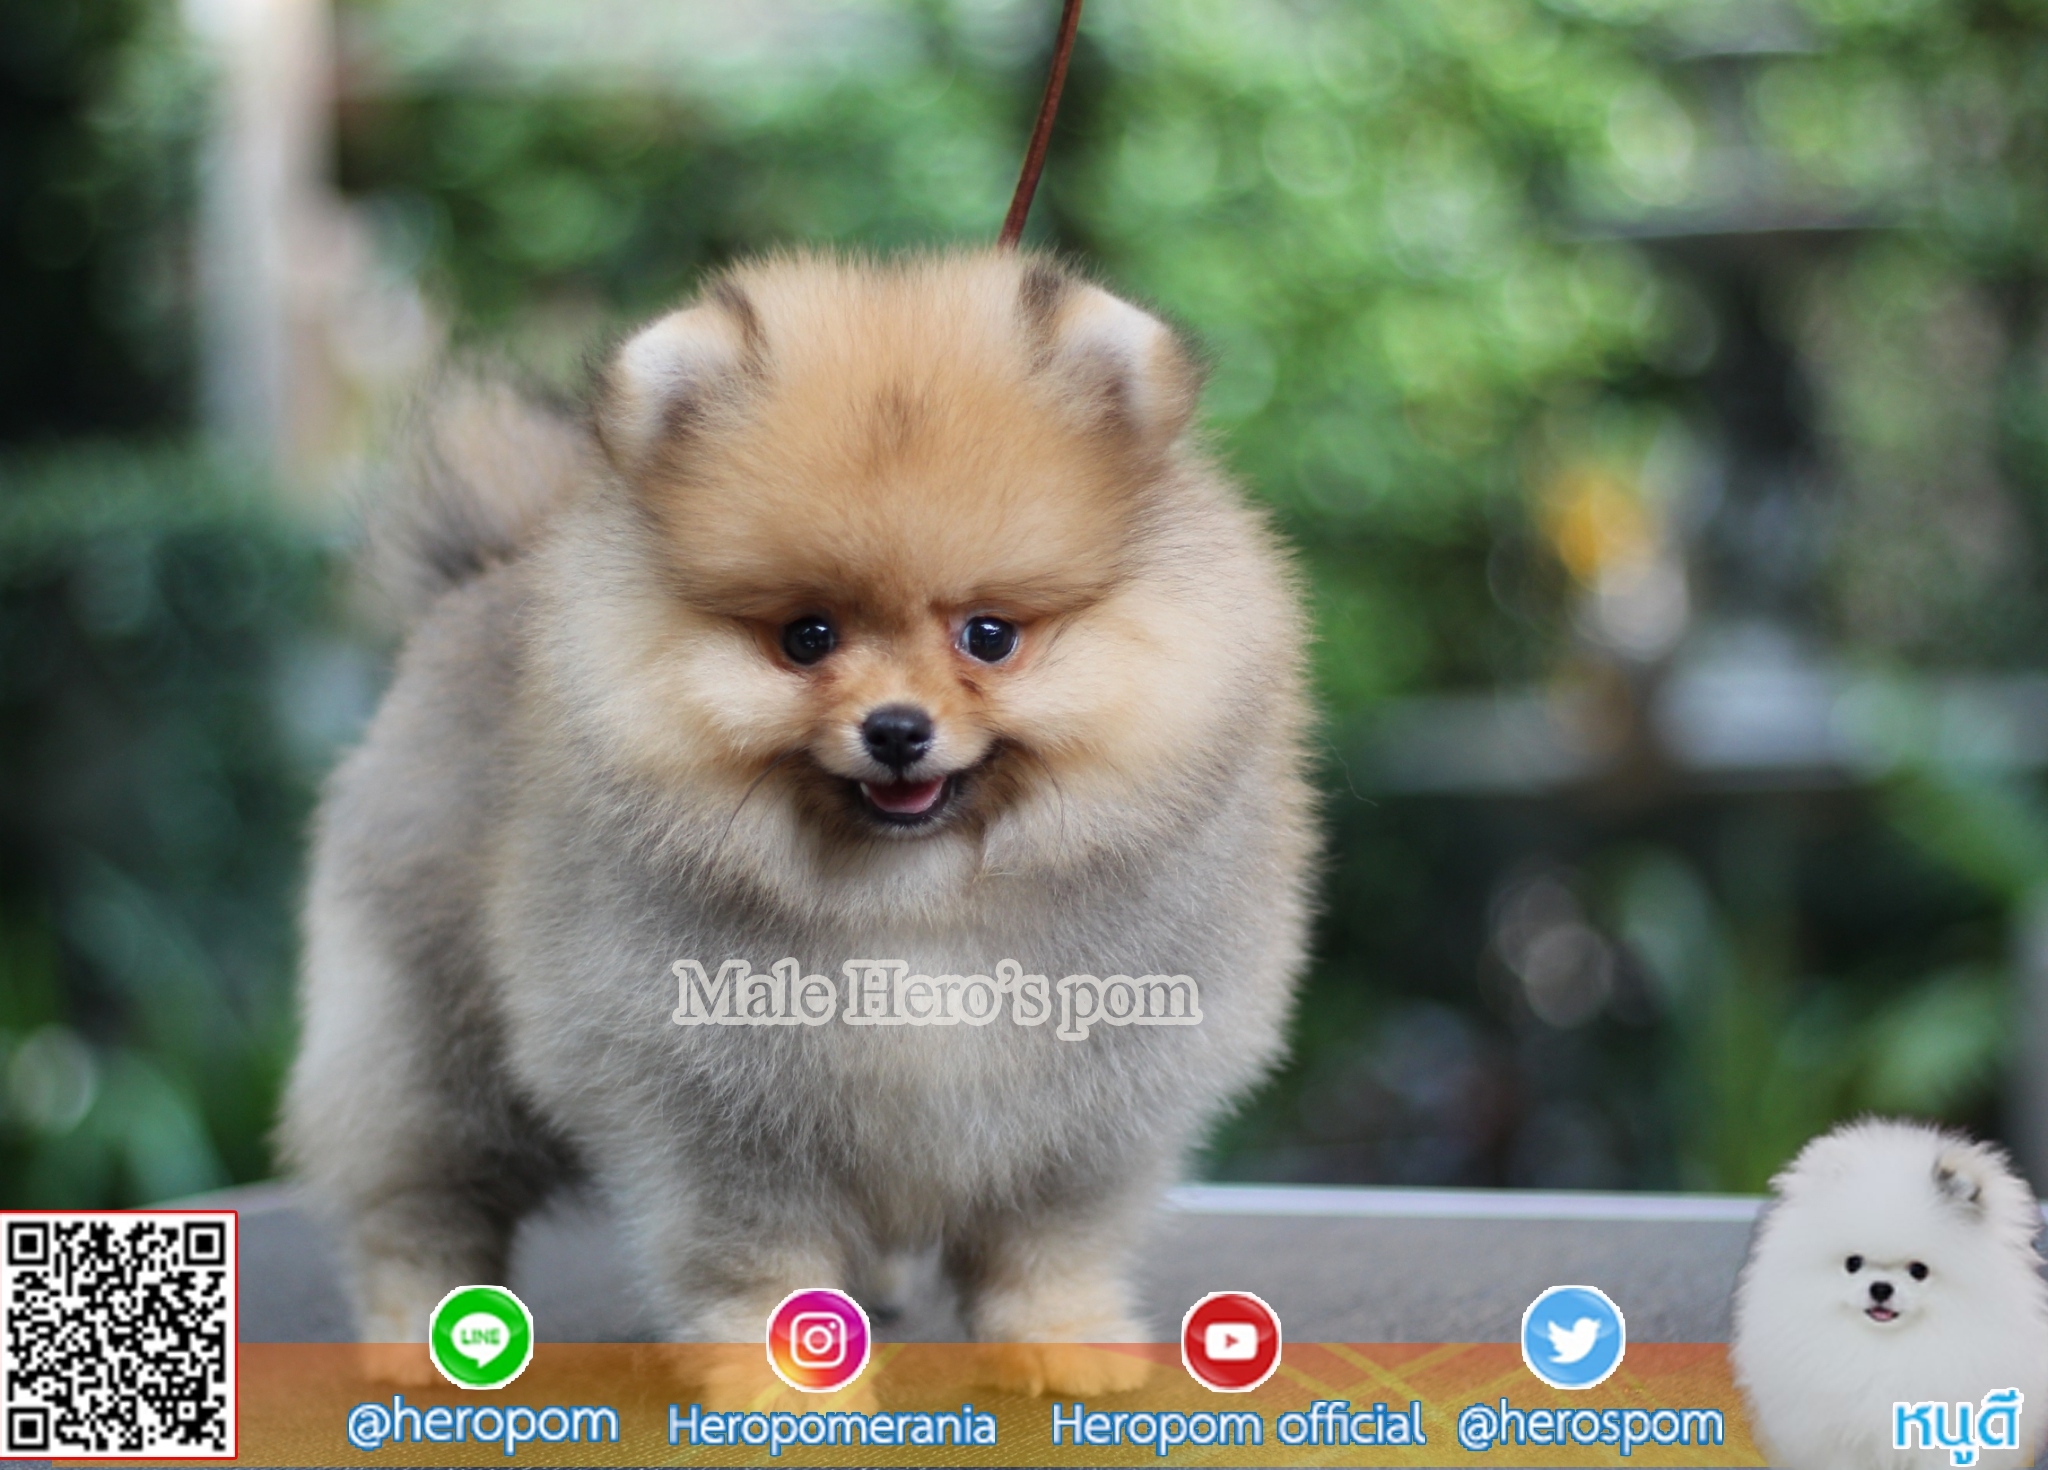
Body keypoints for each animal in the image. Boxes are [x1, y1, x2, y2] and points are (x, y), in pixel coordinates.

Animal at [280, 249, 1315, 1402]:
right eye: (806, 637)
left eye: (989, 635)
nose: (896, 729)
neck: (912, 904)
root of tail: (485, 573)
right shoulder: (717, 1107)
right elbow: (752, 1250)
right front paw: (782, 1372)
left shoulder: (1090, 1103)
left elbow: (1049, 1242)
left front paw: (1064, 1339)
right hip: (422, 1034)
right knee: (420, 1195)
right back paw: (415, 1329)